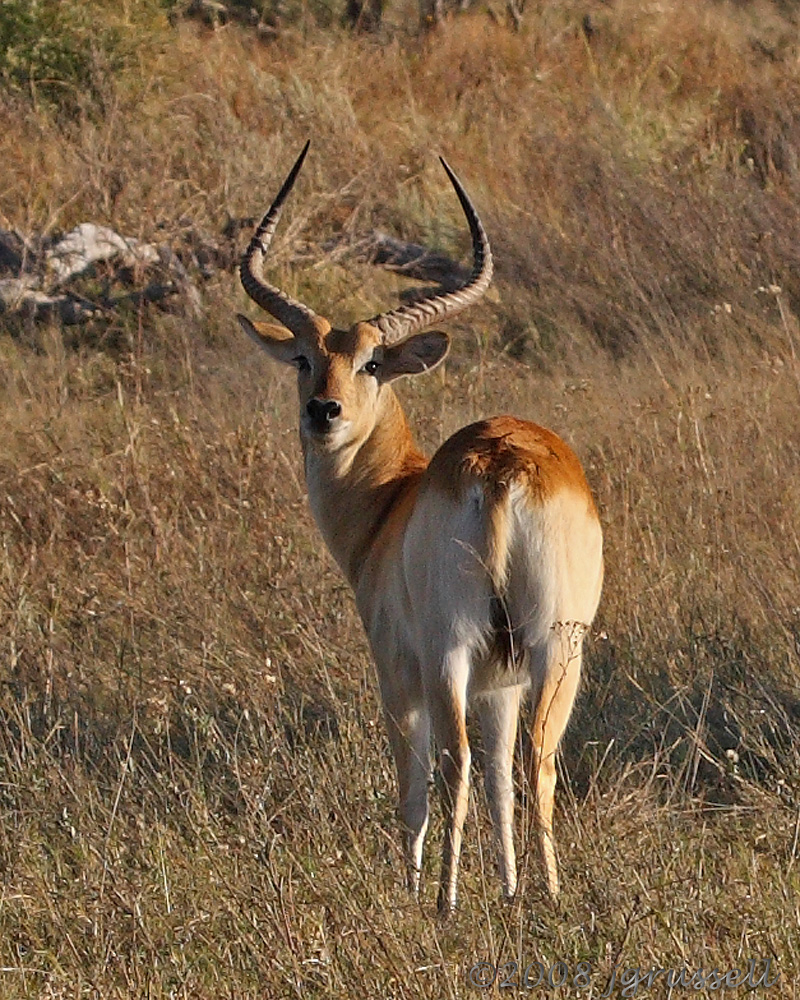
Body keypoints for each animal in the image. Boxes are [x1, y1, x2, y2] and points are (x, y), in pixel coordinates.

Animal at [236, 143, 600, 916]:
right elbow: (499, 780)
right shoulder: (501, 684)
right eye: (305, 356)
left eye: (371, 361)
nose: (324, 411)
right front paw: (511, 889)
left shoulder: (396, 670)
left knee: (451, 765)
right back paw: (549, 899)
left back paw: (442, 902)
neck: (390, 503)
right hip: (557, 649)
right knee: (535, 761)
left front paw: (412, 887)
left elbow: (413, 787)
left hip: (447, 652)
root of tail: (502, 465)